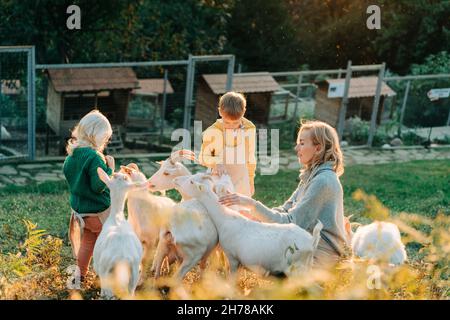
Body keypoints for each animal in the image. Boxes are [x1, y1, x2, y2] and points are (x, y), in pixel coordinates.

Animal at [93, 169, 144, 298]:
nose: (120, 173)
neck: (117, 216)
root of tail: (122, 255)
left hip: (104, 268)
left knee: (106, 292)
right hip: (135, 269)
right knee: (131, 290)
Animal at [172, 174, 324, 276]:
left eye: (191, 181)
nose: (175, 180)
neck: (224, 218)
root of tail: (312, 241)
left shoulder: (232, 257)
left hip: (296, 269)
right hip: (306, 267)